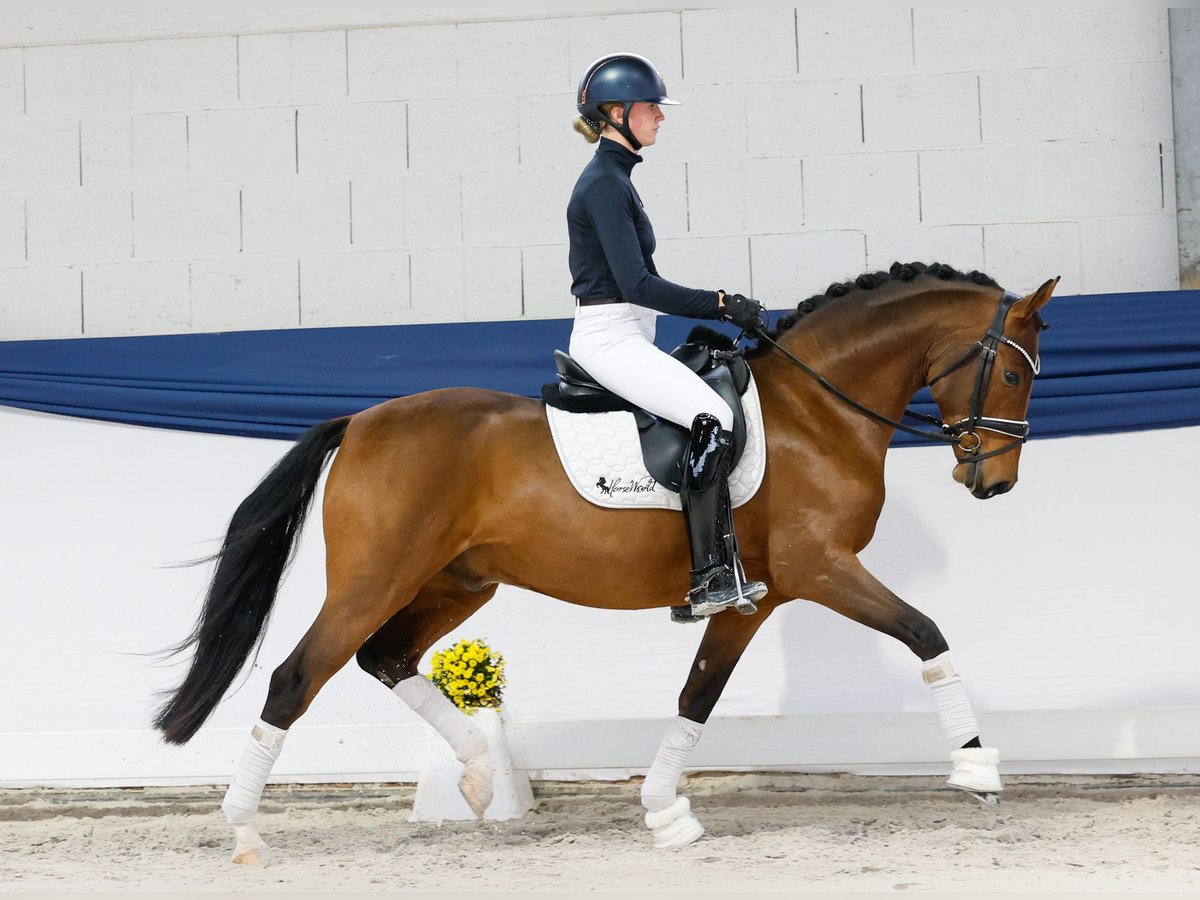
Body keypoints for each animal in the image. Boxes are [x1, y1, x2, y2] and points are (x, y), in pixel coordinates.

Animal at [154, 261, 1056, 863]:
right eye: (1015, 373)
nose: (995, 481)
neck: (816, 408)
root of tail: (362, 421)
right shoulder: (820, 568)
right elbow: (925, 632)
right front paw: (977, 769)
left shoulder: (754, 598)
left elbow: (698, 695)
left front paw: (666, 814)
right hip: (374, 580)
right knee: (296, 678)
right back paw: (245, 829)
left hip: (459, 583)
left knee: (386, 657)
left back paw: (478, 779)